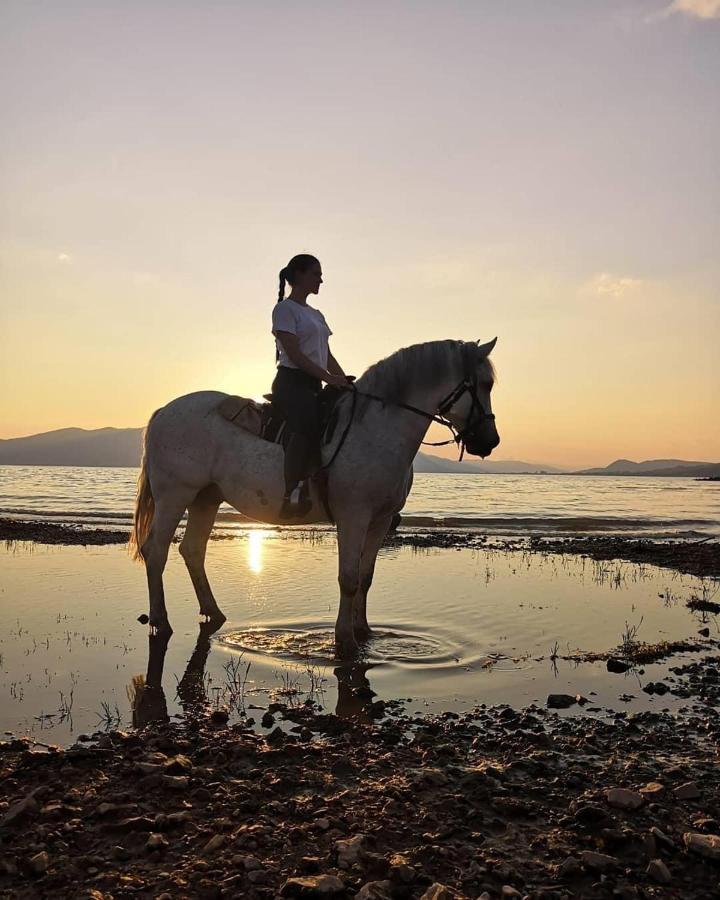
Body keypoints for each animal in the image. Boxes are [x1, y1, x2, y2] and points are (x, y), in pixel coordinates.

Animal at [129, 338, 498, 652]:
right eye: (484, 384)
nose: (490, 441)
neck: (377, 428)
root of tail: (162, 412)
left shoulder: (379, 520)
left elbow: (366, 577)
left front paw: (364, 631)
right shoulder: (353, 515)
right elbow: (348, 578)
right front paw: (344, 639)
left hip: (207, 497)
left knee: (192, 550)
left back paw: (214, 612)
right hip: (174, 495)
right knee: (156, 550)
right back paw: (160, 620)